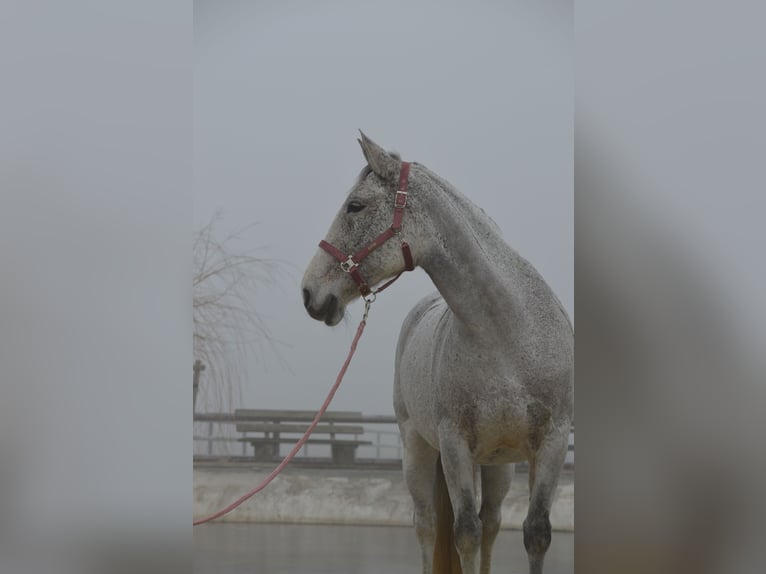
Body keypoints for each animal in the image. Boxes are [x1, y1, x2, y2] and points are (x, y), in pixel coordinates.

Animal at [301, 133, 573, 574]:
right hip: (417, 449)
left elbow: (535, 532)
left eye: (355, 205)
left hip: (499, 465)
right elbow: (464, 534)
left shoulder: (551, 443)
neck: (509, 335)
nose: (309, 293)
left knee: (492, 521)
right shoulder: (454, 446)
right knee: (428, 524)